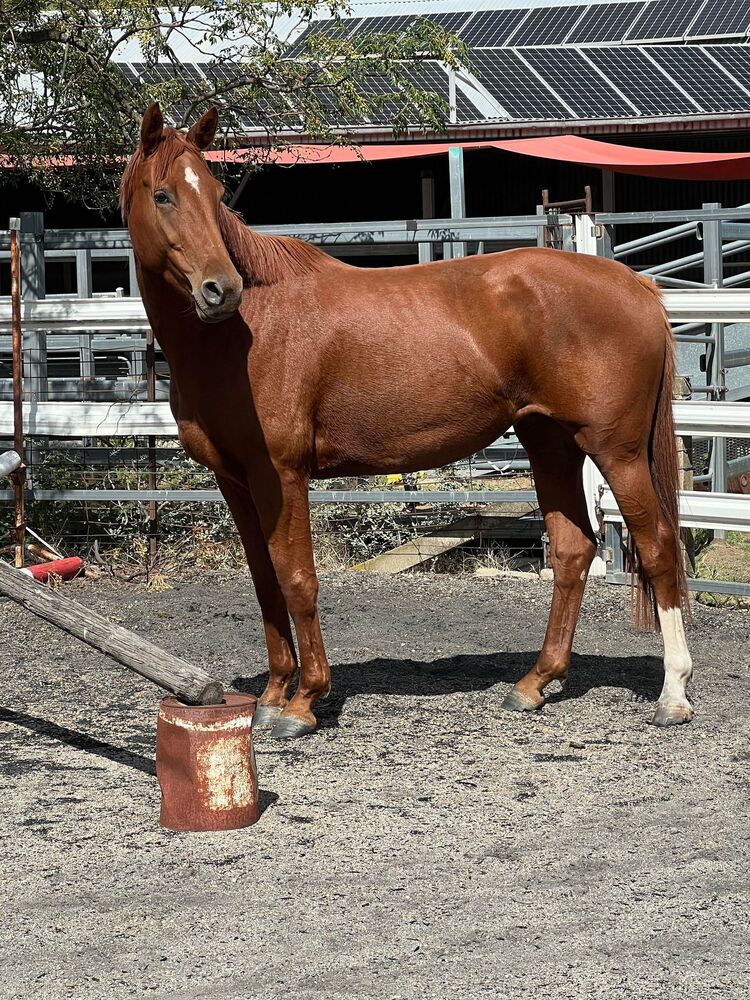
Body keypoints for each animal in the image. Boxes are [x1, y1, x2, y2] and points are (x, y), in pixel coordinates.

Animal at [121, 103, 693, 740]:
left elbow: (297, 579)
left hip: (616, 452)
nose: (221, 289)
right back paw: (534, 684)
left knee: (659, 546)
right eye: (164, 194)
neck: (247, 333)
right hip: (551, 443)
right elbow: (265, 582)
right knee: (572, 550)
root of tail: (635, 284)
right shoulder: (235, 480)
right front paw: (272, 695)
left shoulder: (282, 475)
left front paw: (303, 703)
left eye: (216, 193)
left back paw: (672, 695)